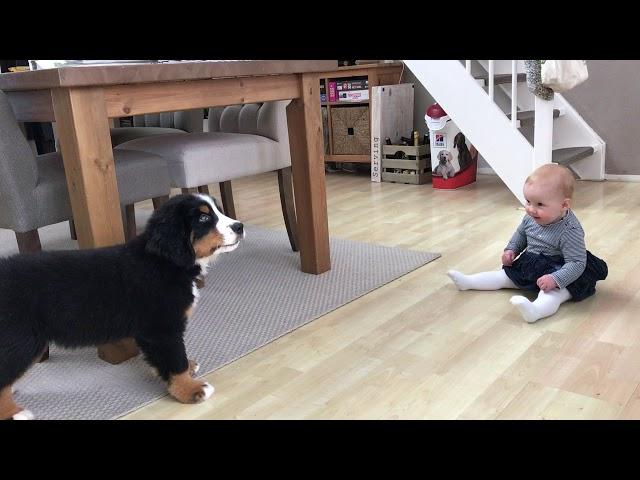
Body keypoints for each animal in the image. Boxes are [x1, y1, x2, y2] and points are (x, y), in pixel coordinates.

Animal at [0, 193, 245, 418]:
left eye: (218, 210)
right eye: (204, 218)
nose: (240, 226)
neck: (166, 262)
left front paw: (188, 367)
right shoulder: (162, 329)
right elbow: (175, 359)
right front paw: (189, 389)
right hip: (22, 340)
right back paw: (13, 412)